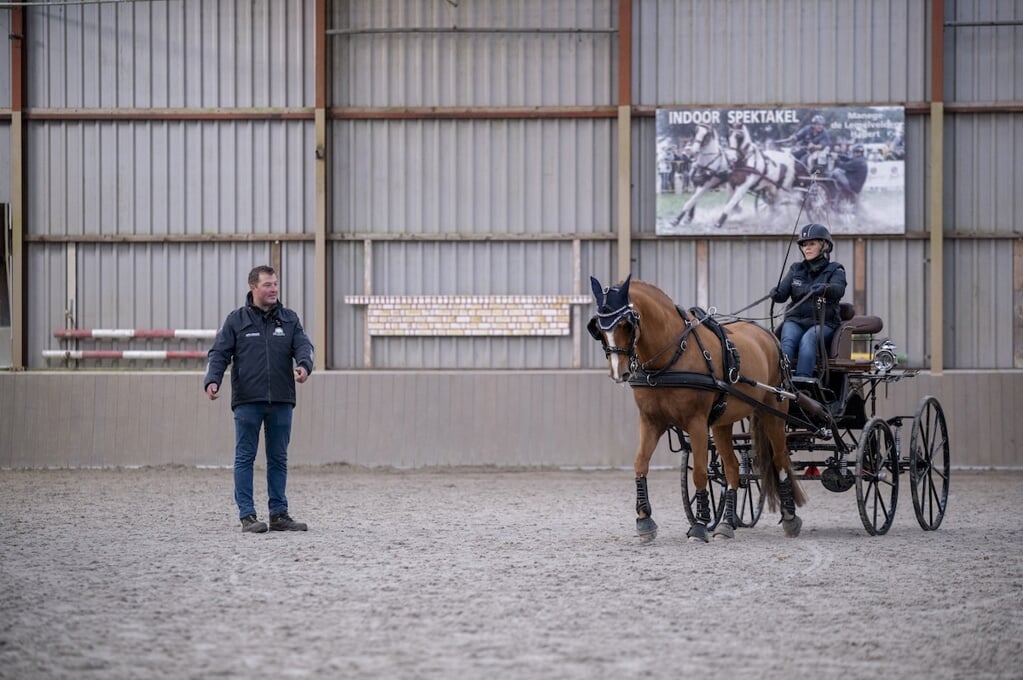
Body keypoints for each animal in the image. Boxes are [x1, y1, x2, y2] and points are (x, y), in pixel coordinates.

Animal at [593, 274, 806, 539]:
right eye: (599, 328)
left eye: (625, 324)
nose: (618, 372)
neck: (672, 357)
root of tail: (769, 337)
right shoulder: (651, 420)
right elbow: (640, 463)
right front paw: (645, 520)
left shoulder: (696, 423)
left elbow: (700, 472)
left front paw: (699, 524)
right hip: (723, 422)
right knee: (733, 468)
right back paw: (727, 524)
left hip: (774, 411)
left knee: (780, 460)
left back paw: (790, 517)